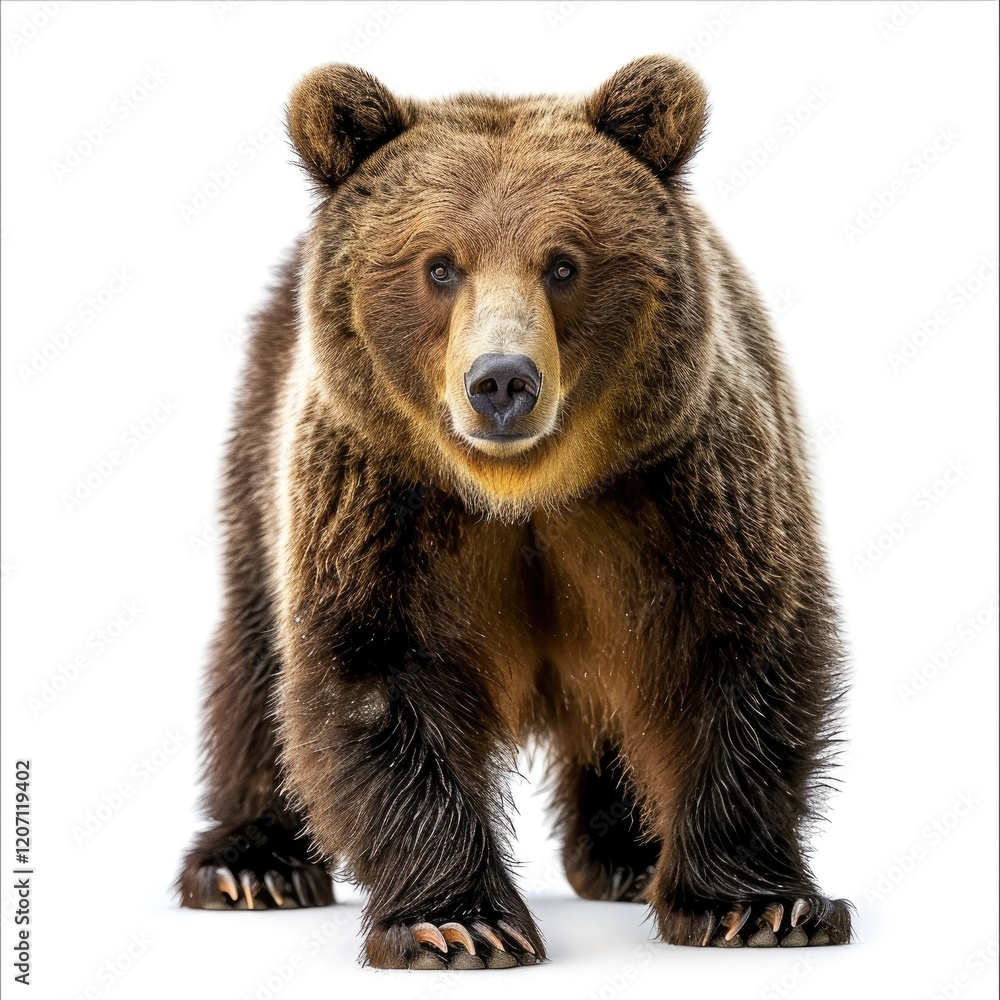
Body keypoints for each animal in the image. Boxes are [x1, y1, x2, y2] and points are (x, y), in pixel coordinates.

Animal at [177, 55, 854, 968]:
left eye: (563, 263)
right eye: (439, 265)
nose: (501, 381)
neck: (522, 494)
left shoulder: (687, 486)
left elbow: (733, 657)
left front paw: (760, 906)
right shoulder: (379, 499)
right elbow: (376, 675)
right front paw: (459, 922)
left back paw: (624, 851)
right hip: (260, 442)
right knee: (253, 653)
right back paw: (250, 866)